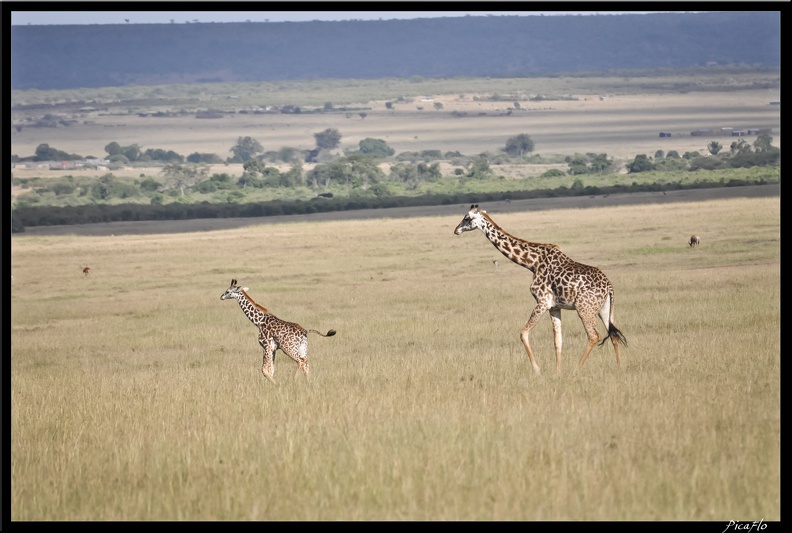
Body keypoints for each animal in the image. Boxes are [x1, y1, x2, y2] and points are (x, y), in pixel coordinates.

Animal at [454, 204, 628, 374]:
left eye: (467, 218)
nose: (456, 230)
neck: (532, 262)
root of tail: (609, 287)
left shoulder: (542, 301)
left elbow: (523, 333)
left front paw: (537, 369)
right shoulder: (554, 306)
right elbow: (557, 341)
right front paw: (558, 372)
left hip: (584, 308)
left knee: (594, 336)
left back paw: (576, 370)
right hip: (604, 309)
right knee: (613, 334)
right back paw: (619, 368)